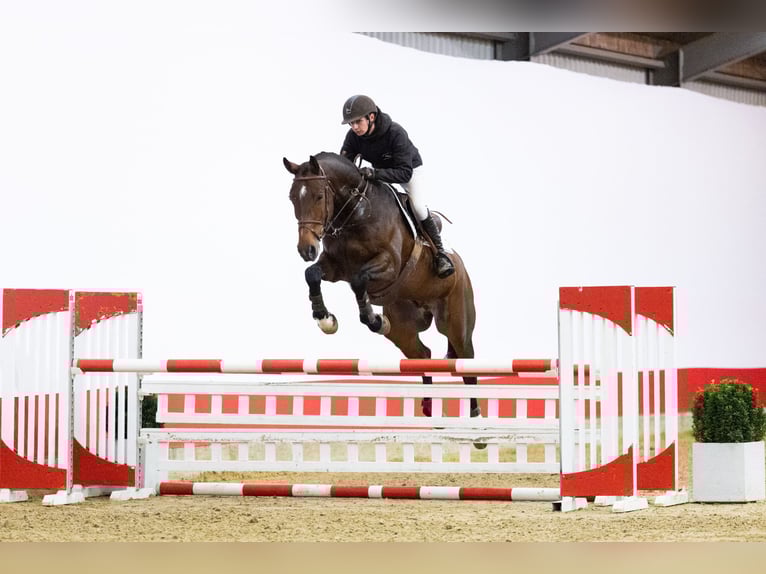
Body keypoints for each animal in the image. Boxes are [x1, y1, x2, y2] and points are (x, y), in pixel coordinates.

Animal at [282, 152, 481, 422]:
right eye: (292, 197)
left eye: (319, 196)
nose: (307, 249)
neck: (355, 214)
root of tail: (460, 266)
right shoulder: (335, 267)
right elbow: (312, 274)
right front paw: (325, 318)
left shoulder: (388, 265)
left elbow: (359, 282)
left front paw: (372, 318)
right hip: (403, 330)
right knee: (423, 355)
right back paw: (428, 406)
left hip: (456, 324)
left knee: (466, 364)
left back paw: (475, 417)